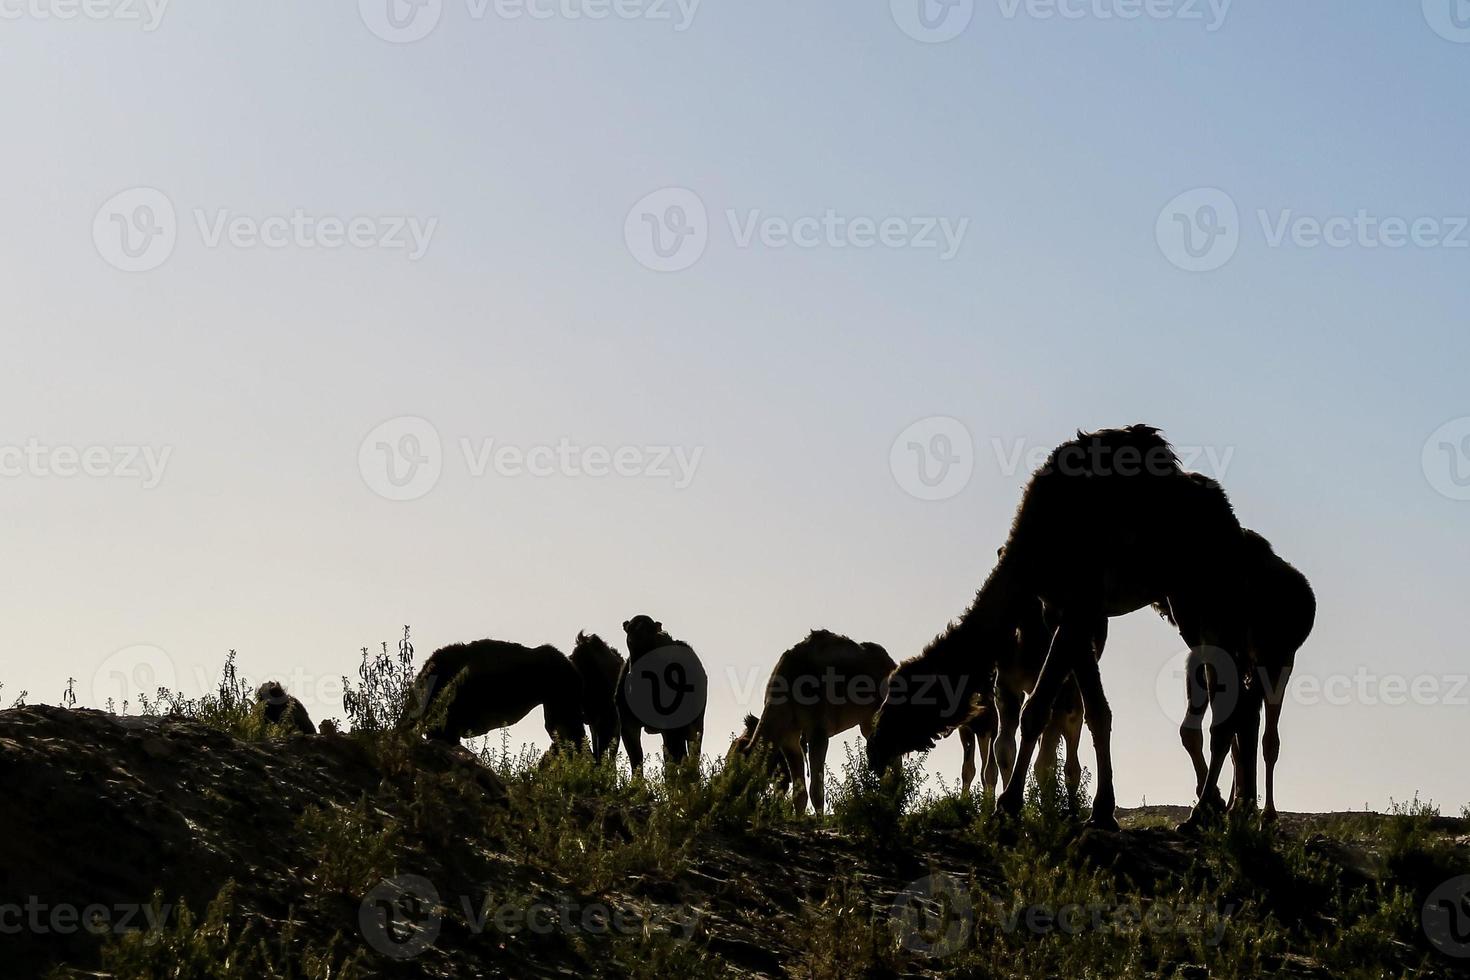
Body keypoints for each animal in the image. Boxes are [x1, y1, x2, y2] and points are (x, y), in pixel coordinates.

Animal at [614, 614, 705, 775]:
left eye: (650, 630)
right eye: (630, 629)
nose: (638, 638)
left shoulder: (670, 725)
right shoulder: (627, 724)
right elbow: (636, 758)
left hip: (695, 722)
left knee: (691, 751)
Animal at [726, 628, 887, 811]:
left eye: (738, 773)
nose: (726, 795)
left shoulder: (818, 731)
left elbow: (816, 790)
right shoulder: (789, 737)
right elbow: (799, 794)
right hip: (867, 721)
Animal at [870, 426, 1252, 834]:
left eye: (901, 695)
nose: (874, 748)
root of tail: (1227, 514)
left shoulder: (1078, 606)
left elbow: (1037, 709)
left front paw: (1008, 807)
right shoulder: (1069, 613)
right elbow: (1097, 712)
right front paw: (1101, 812)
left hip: (1203, 595)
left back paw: (1205, 813)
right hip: (1181, 603)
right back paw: (1212, 810)